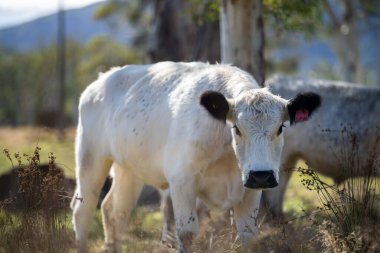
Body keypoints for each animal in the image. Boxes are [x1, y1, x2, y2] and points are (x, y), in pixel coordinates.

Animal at [71, 61, 320, 253]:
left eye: (280, 128)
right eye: (237, 128)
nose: (262, 176)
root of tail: (101, 80)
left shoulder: (250, 188)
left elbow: (249, 235)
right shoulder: (182, 182)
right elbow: (187, 233)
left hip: (129, 169)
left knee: (115, 210)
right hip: (90, 158)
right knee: (83, 210)